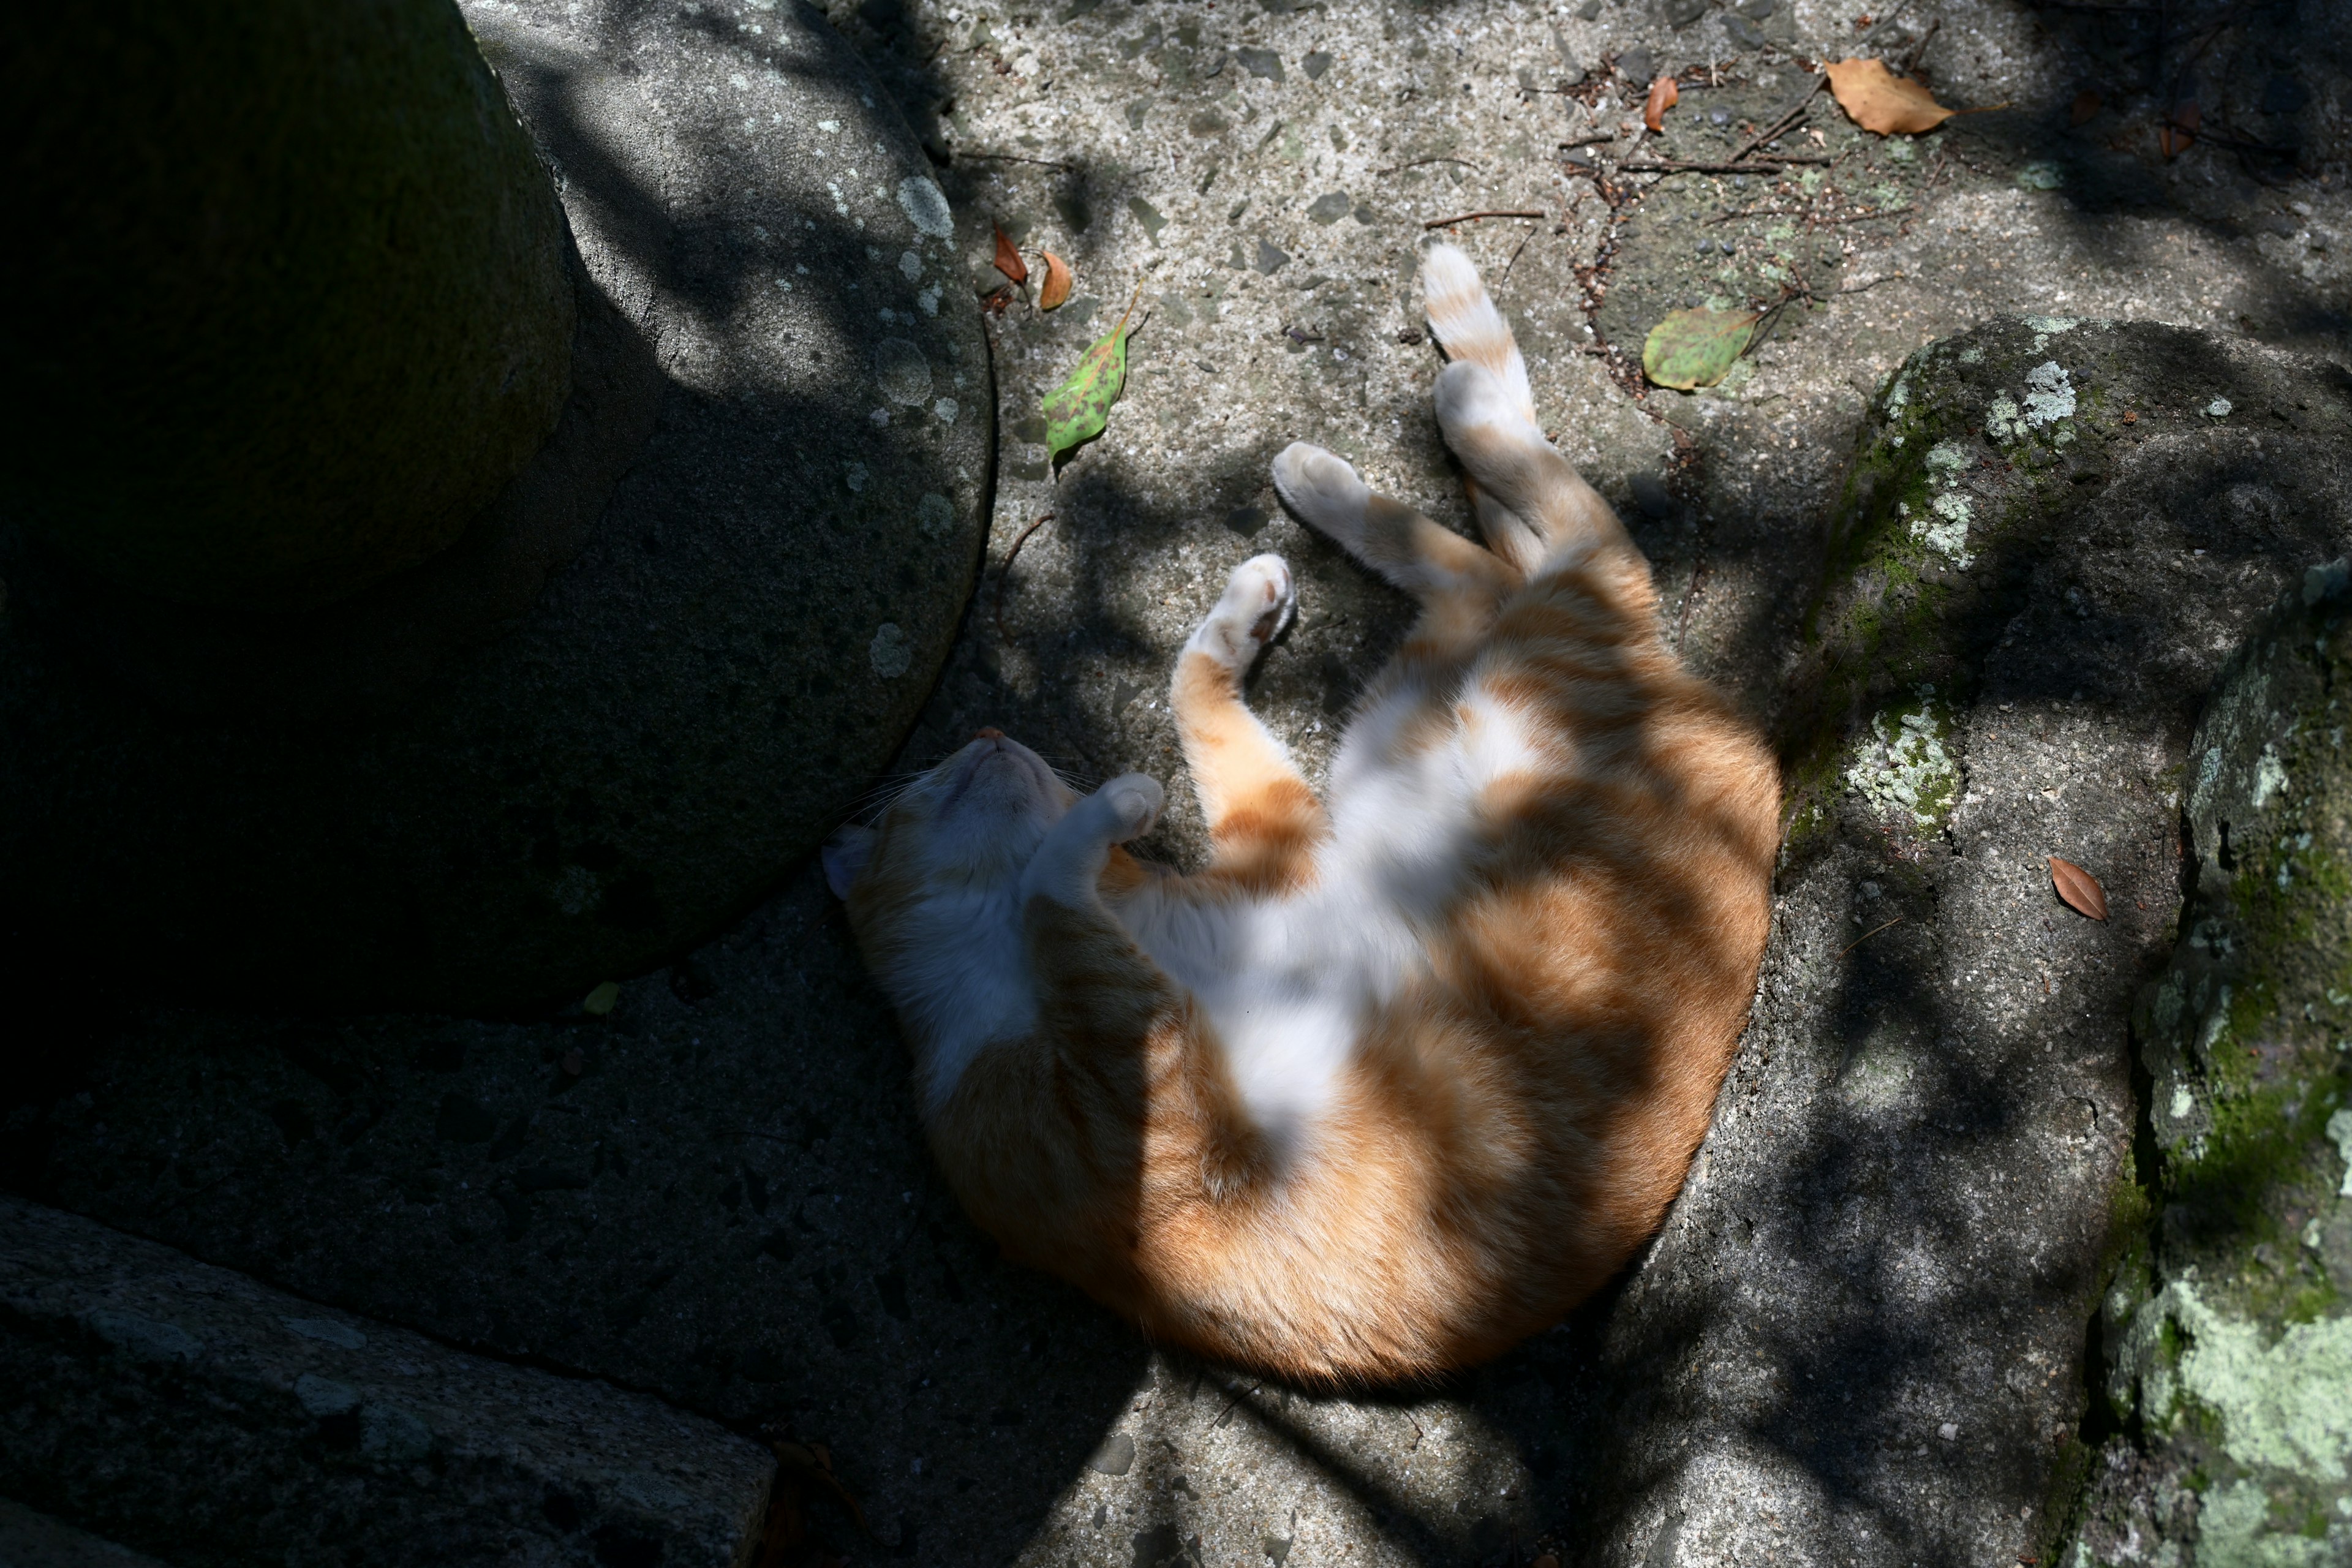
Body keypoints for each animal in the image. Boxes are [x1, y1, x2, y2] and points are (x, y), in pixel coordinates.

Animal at [837, 246, 1768, 1382]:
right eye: (931, 781)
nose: (987, 736)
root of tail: (1674, 677)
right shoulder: (1126, 1100)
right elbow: (1066, 893)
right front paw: (1112, 805)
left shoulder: (1263, 856)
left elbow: (1181, 715)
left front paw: (1224, 642)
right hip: (1438, 716)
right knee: (1520, 559)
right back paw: (1394, 437)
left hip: (1491, 700)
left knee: (1563, 540)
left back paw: (1424, 403)